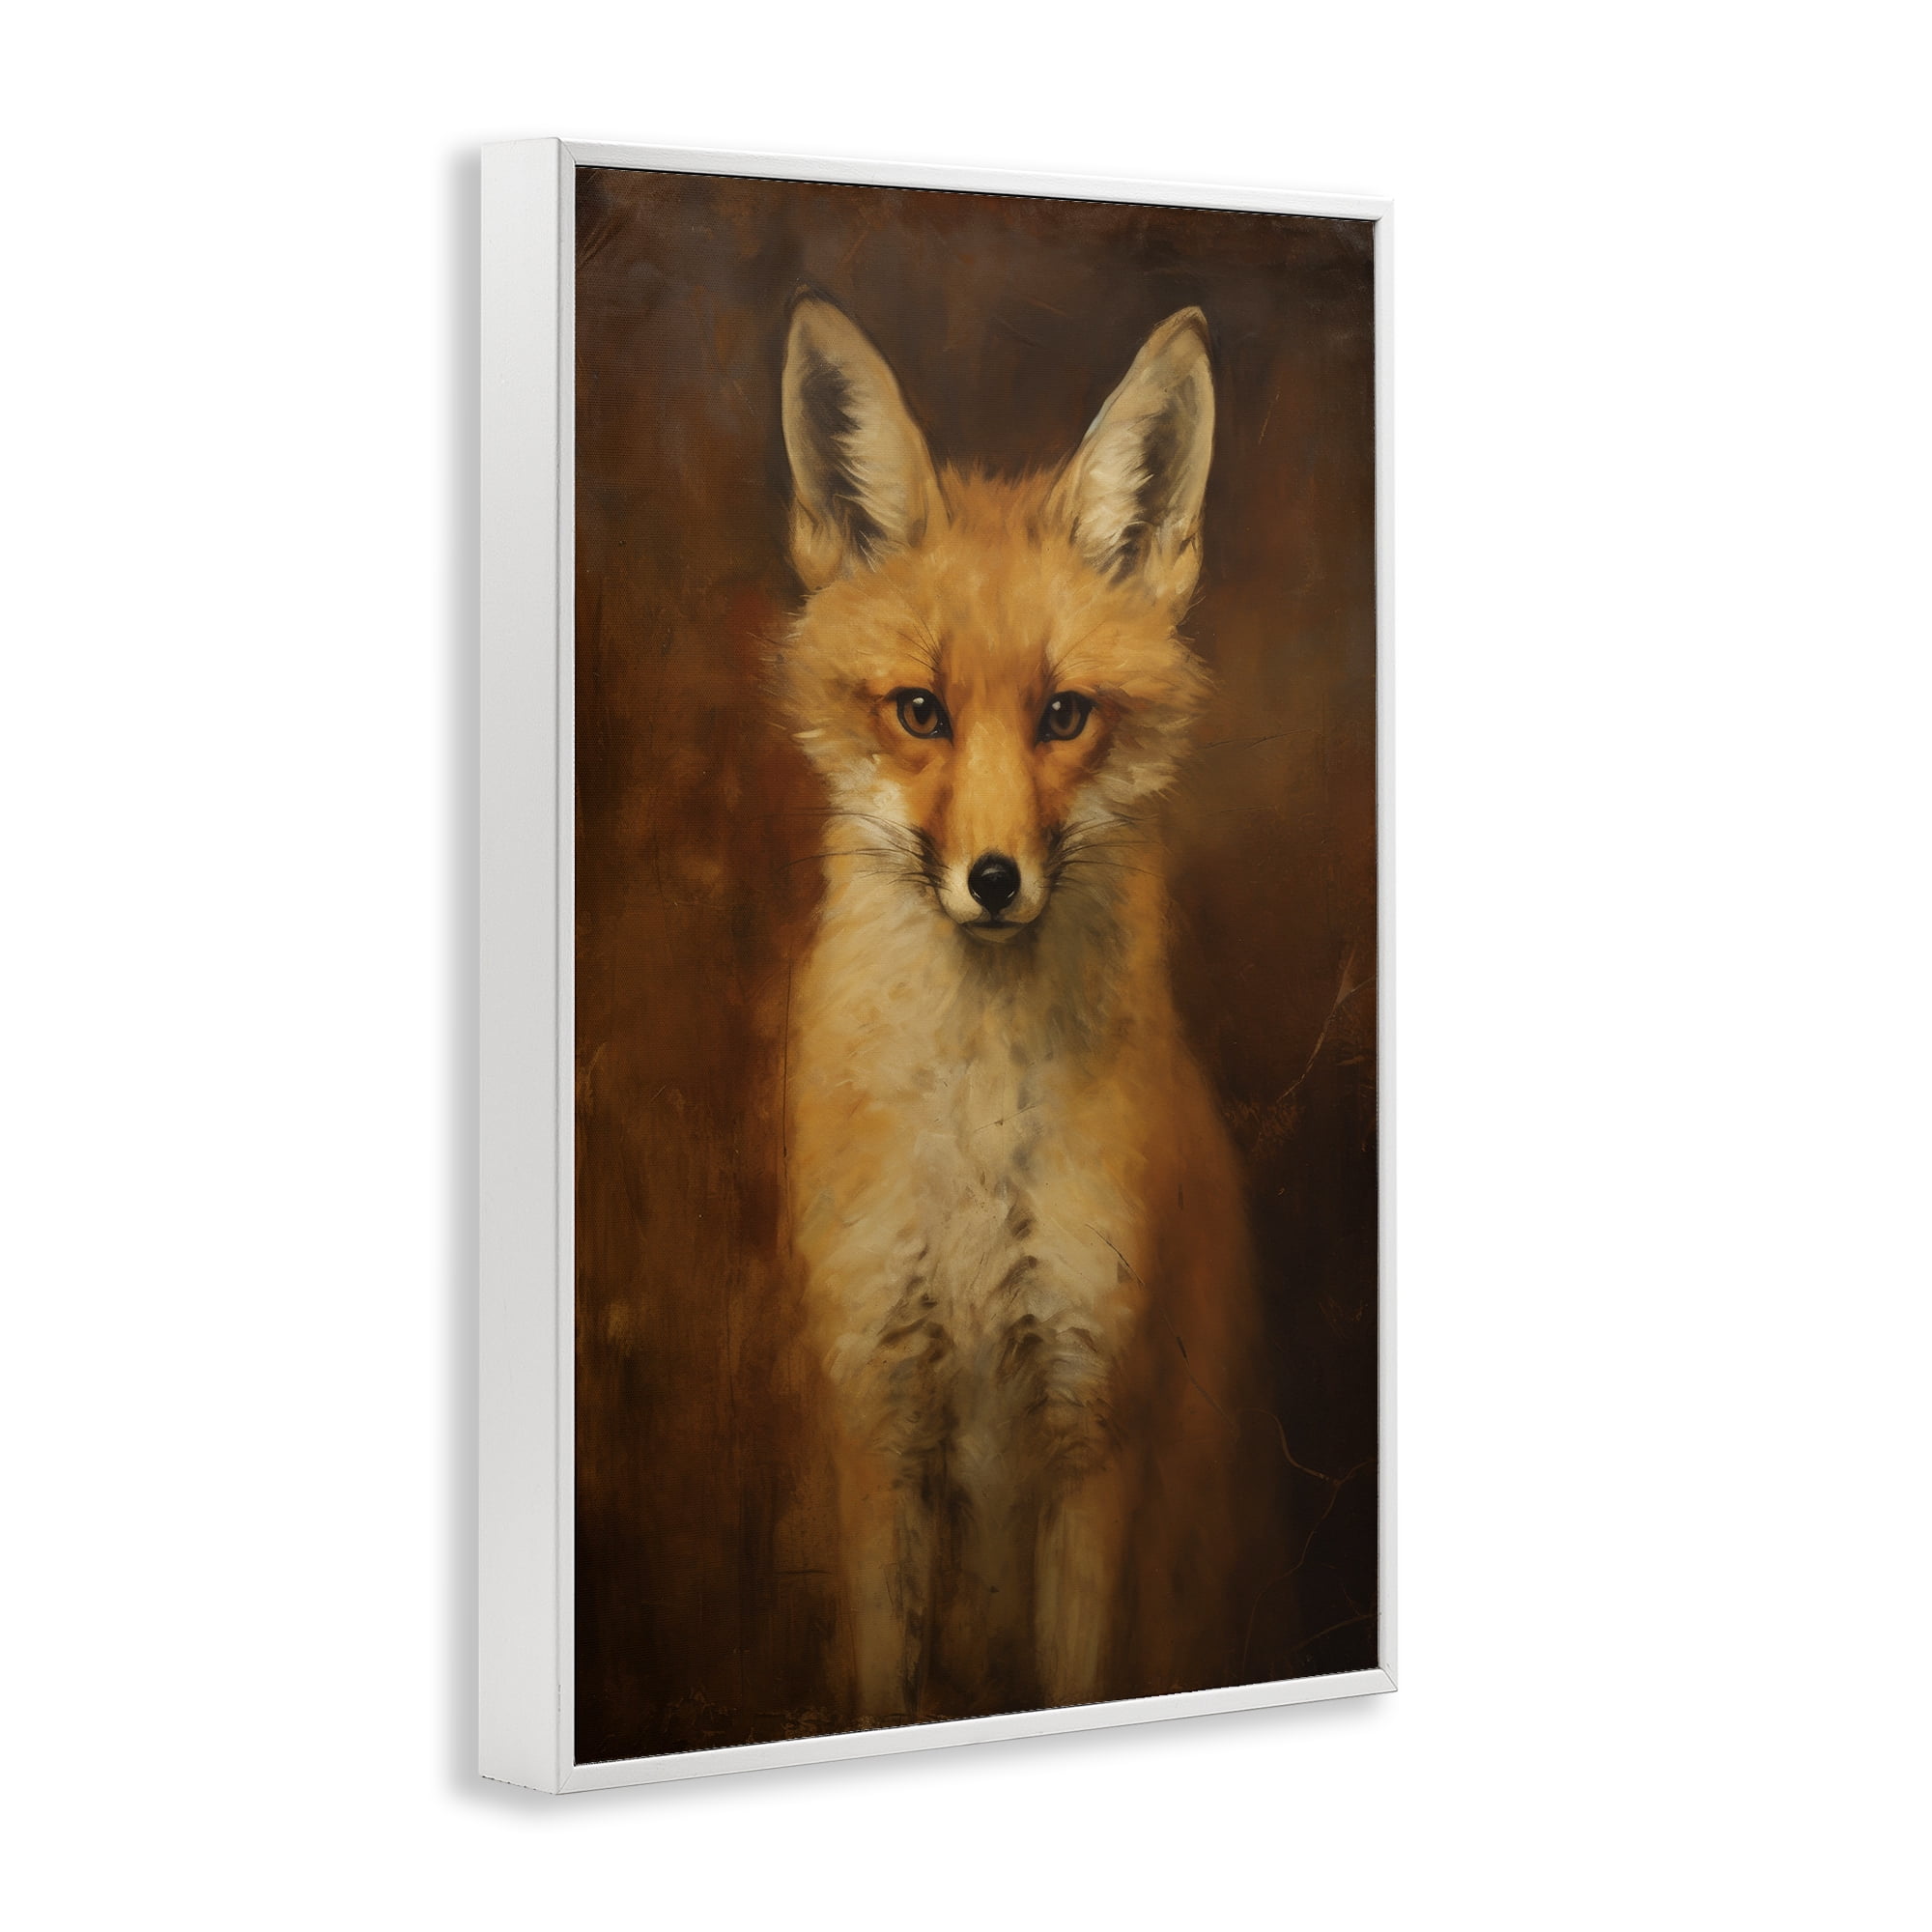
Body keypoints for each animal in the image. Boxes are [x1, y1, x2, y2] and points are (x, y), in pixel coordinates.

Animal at [775, 295, 1271, 1725]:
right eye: (920, 711)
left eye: (1063, 715)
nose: (993, 880)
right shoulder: (879, 1417)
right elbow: (883, 1693)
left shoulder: (1094, 1428)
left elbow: (1076, 1673)